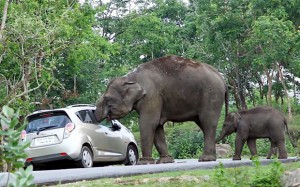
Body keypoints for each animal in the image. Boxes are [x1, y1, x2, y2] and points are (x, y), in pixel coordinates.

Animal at [94, 55, 227, 164]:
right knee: (203, 124)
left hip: (212, 96)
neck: (129, 78)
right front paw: (165, 161)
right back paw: (212, 158)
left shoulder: (151, 96)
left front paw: (144, 163)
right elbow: (157, 126)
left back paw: (206, 159)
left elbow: (148, 123)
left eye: (107, 99)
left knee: (207, 122)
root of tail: (222, 78)